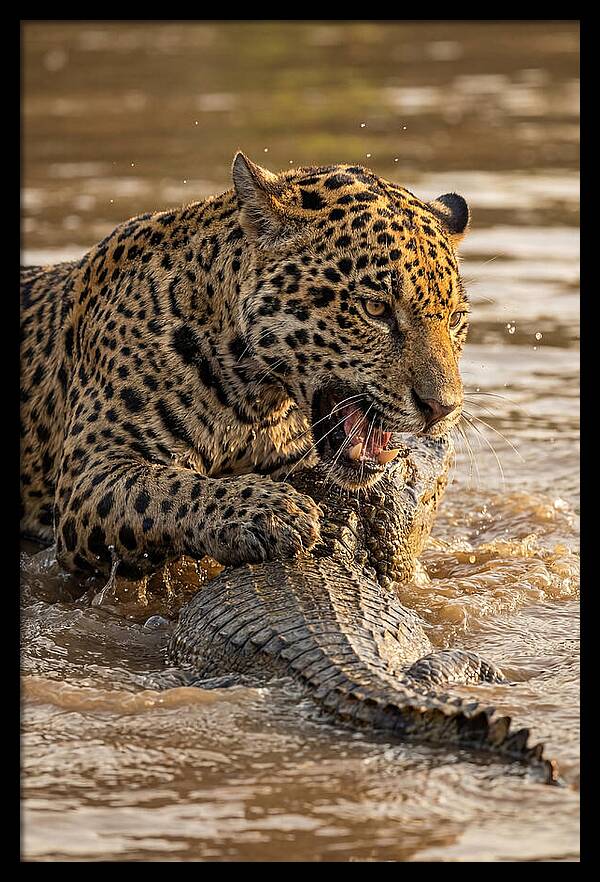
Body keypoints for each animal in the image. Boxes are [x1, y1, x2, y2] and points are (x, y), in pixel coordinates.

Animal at [20, 152, 471, 580]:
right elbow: (165, 487)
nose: (442, 408)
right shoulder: (91, 475)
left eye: (454, 319)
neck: (254, 399)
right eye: (375, 309)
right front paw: (269, 511)